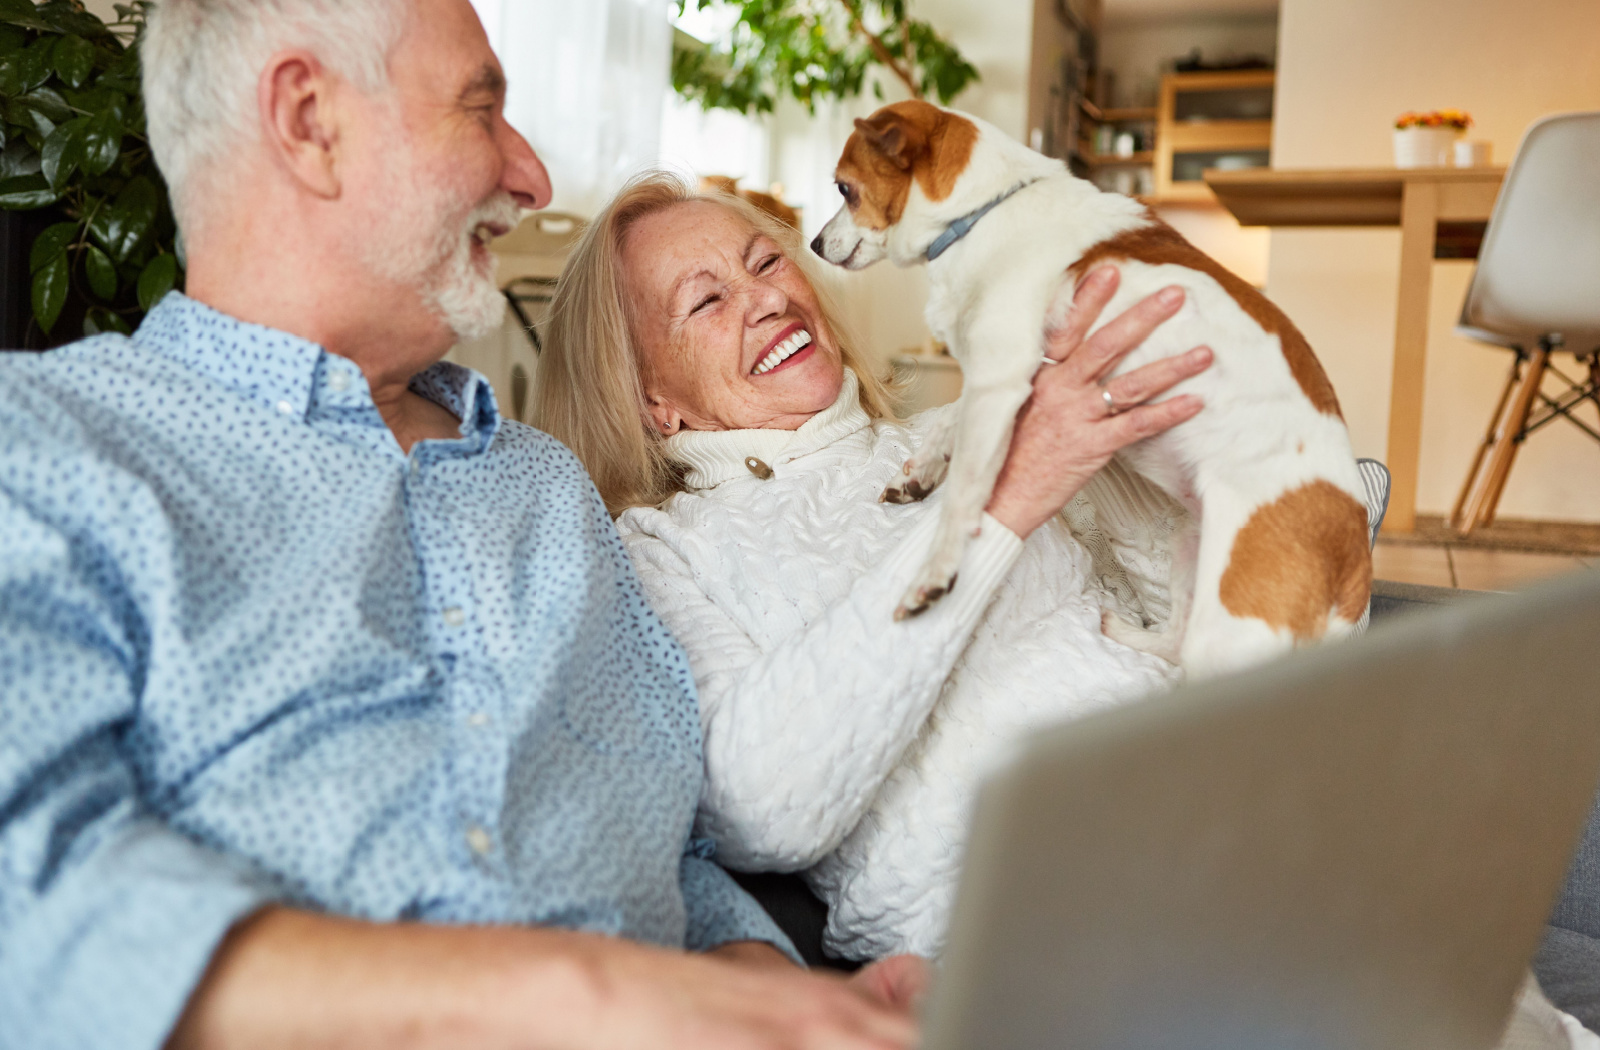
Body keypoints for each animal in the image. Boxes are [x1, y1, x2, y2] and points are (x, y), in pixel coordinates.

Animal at [819, 98, 1369, 672]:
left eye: (844, 188)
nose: (813, 243)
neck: (983, 211)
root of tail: (1354, 566)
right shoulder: (1013, 377)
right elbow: (949, 417)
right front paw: (921, 472)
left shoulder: (1000, 376)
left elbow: (965, 494)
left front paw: (935, 573)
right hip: (1191, 549)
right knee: (1173, 643)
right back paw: (1126, 632)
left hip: (1230, 628)